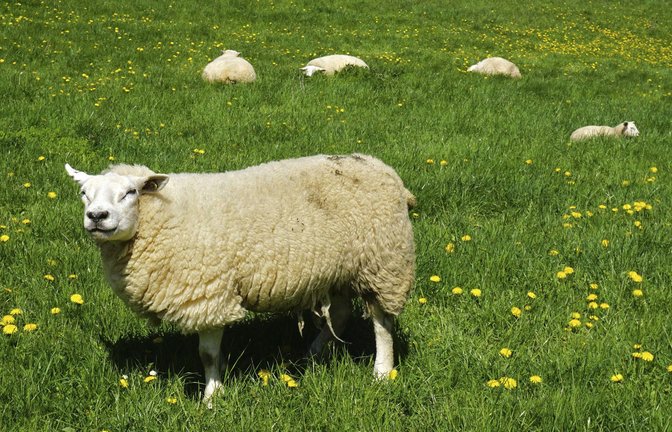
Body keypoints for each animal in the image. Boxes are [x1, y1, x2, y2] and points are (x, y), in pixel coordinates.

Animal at [65, 154, 416, 403]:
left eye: (130, 193)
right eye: (83, 193)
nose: (97, 216)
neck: (166, 216)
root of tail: (382, 168)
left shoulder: (208, 293)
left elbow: (207, 354)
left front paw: (212, 398)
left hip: (384, 263)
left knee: (382, 322)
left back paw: (382, 371)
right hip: (339, 269)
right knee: (341, 314)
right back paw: (314, 354)